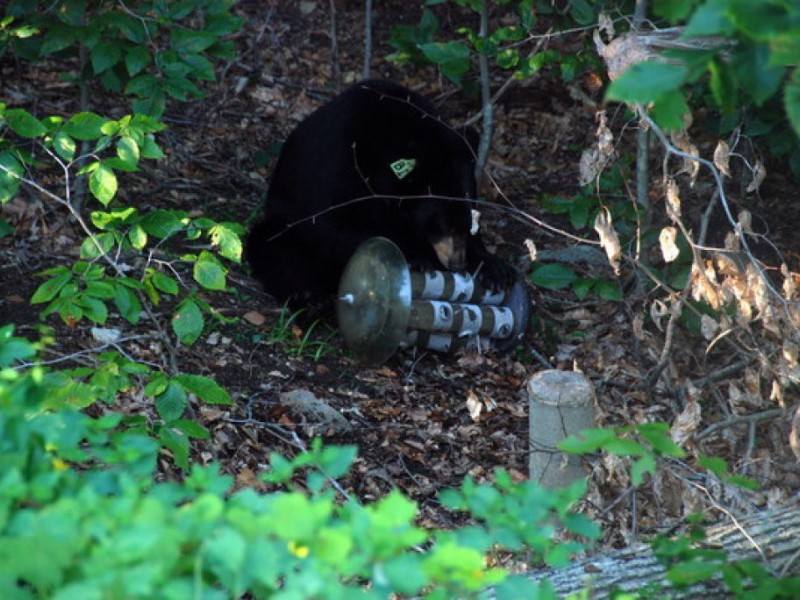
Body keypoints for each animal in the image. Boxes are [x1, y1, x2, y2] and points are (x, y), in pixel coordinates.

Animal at [245, 79, 516, 315]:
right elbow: (328, 224)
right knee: (276, 253)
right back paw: (313, 301)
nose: (457, 263)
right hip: (281, 229)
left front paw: (494, 267)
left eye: (470, 221)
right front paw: (413, 258)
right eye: (442, 225)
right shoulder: (336, 165)